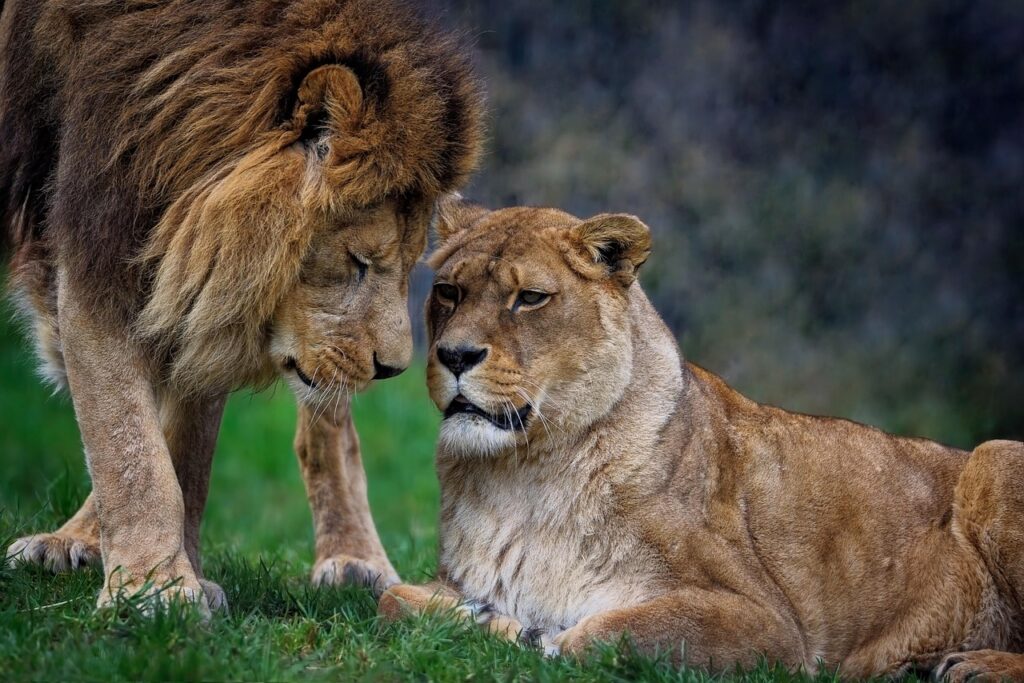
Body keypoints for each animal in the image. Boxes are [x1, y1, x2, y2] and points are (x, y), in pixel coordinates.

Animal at [1, 0, 482, 611]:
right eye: (357, 261)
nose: (392, 369)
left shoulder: (205, 282)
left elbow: (180, 454)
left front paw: (165, 582)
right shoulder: (104, 235)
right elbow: (128, 442)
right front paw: (154, 588)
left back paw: (356, 560)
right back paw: (73, 541)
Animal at [378, 200, 1024, 682]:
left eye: (530, 298)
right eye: (450, 292)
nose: (455, 356)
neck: (526, 470)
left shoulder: (768, 628)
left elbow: (612, 634)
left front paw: (525, 632)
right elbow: (391, 601)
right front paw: (477, 618)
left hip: (994, 458)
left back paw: (972, 665)